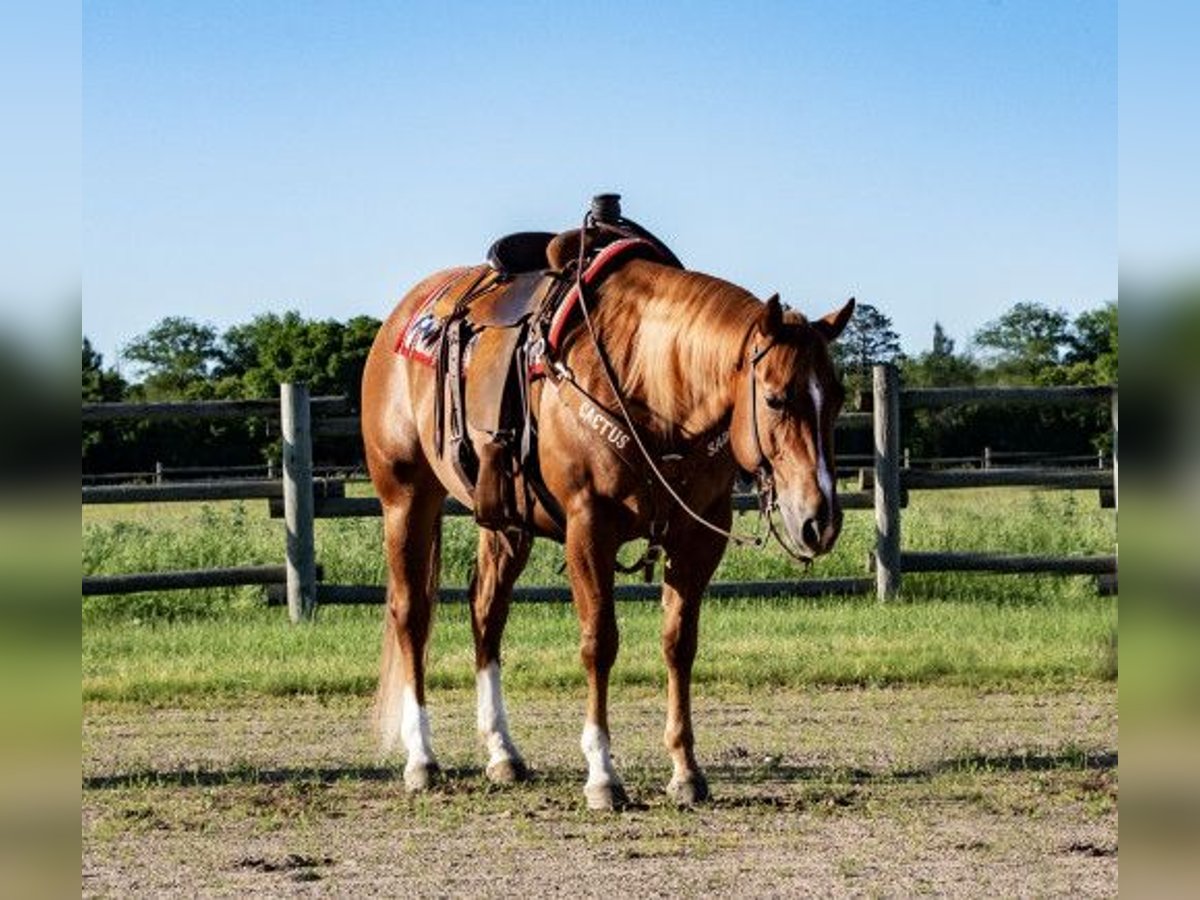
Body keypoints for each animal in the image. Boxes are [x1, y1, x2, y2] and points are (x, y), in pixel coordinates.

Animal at [357, 211, 854, 811]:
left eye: (839, 397)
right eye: (777, 398)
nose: (820, 520)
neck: (653, 386)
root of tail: (402, 318)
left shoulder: (699, 536)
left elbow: (679, 643)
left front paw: (686, 770)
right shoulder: (587, 529)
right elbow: (599, 642)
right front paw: (601, 774)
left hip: (504, 520)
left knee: (486, 612)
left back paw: (503, 752)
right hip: (407, 498)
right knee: (412, 615)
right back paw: (422, 759)